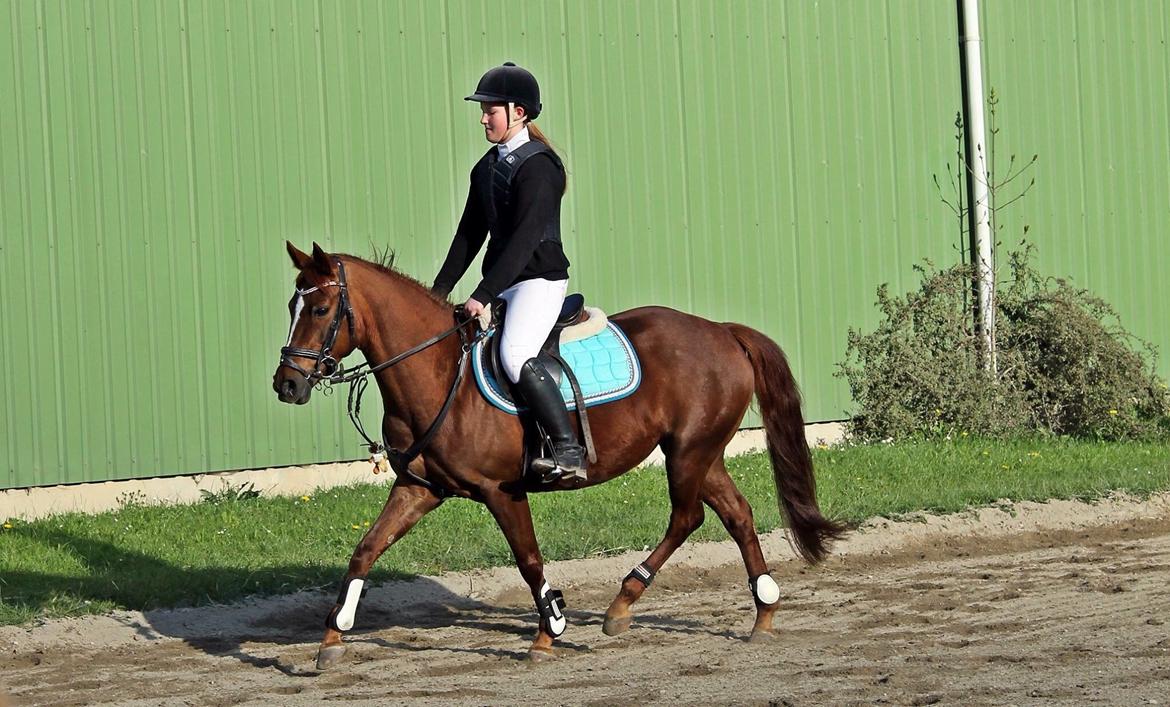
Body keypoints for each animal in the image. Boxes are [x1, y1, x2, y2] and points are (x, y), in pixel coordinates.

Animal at [270, 243, 847, 669]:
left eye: (320, 309)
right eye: (291, 307)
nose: (287, 385)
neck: (438, 374)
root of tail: (722, 331)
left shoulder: (501, 491)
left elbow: (529, 561)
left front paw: (549, 632)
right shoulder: (420, 487)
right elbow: (365, 549)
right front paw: (333, 637)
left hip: (689, 452)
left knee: (688, 516)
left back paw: (622, 604)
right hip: (700, 452)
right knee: (736, 514)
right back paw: (762, 615)